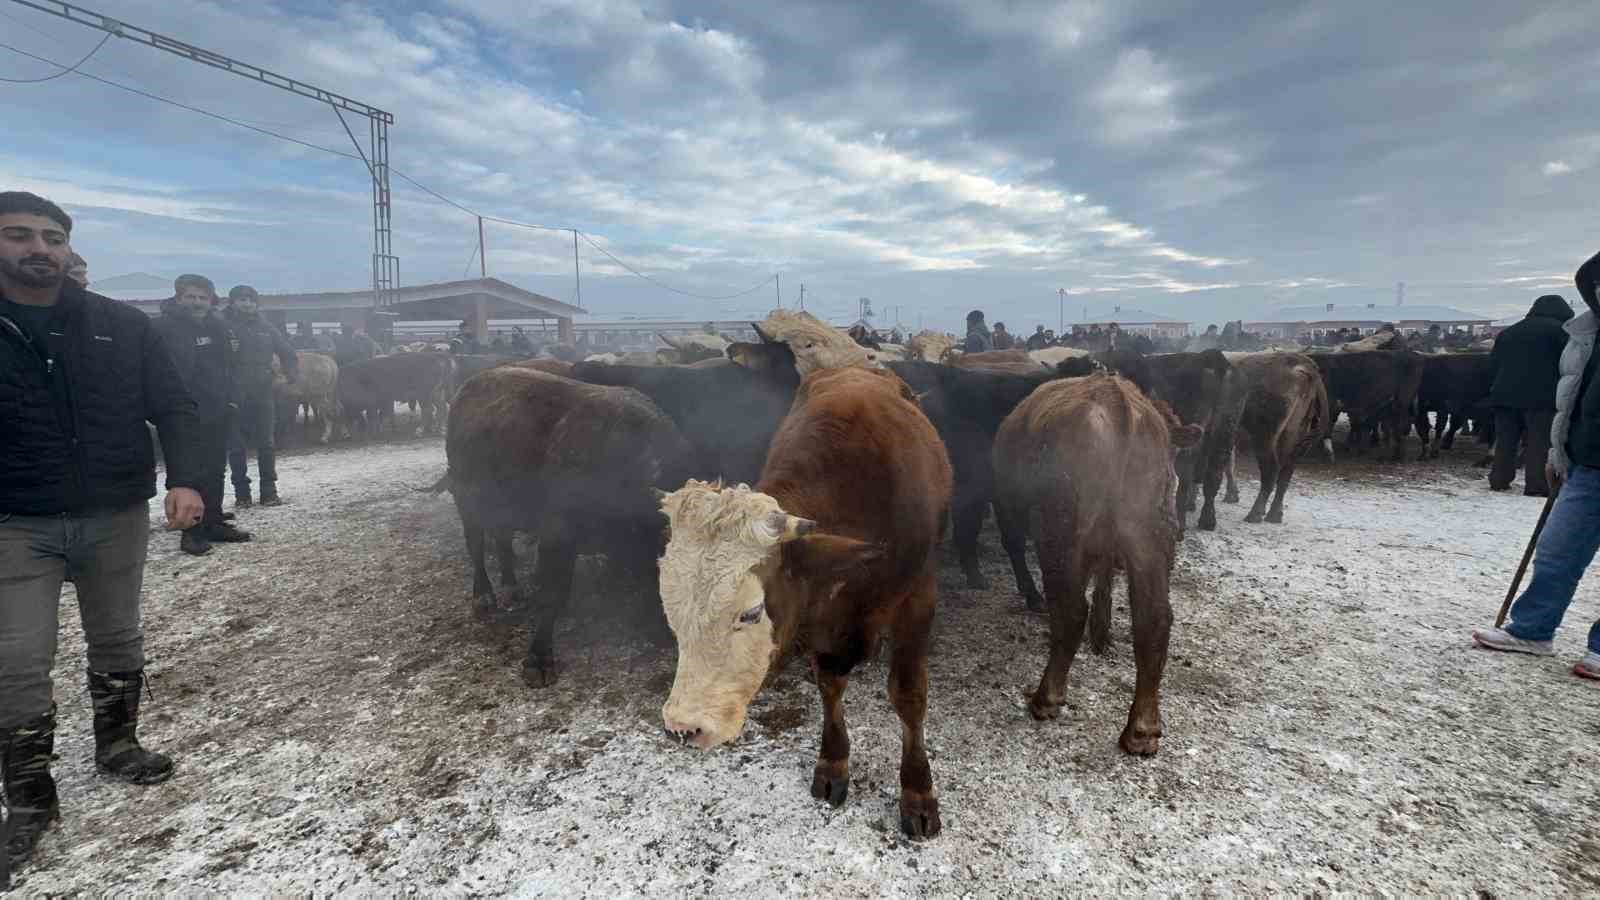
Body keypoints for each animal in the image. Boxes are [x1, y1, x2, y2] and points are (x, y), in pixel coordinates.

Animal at [441, 368, 691, 682]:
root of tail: (468, 387)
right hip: (467, 499)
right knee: (475, 545)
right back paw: (483, 597)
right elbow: (553, 592)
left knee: (502, 539)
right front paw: (538, 658)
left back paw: (512, 588)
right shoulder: (557, 535)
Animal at [659, 361, 953, 832]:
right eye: (672, 612)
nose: (683, 728)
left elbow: (909, 697)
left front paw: (918, 792)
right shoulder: (819, 616)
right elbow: (829, 686)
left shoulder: (919, 598)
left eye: (750, 613)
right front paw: (833, 764)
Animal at [985, 374, 1203, 752]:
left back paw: (1047, 697)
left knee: (1071, 610)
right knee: (1154, 619)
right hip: (1148, 533)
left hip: (1063, 530)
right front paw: (1102, 633)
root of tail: (1120, 404)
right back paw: (1142, 729)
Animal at [1222, 349, 1324, 522]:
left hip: (1264, 435)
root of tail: (1300, 361)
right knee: (1286, 472)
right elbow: (1228, 461)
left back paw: (1255, 513)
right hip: (1293, 432)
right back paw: (1274, 513)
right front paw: (1232, 494)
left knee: (1271, 469)